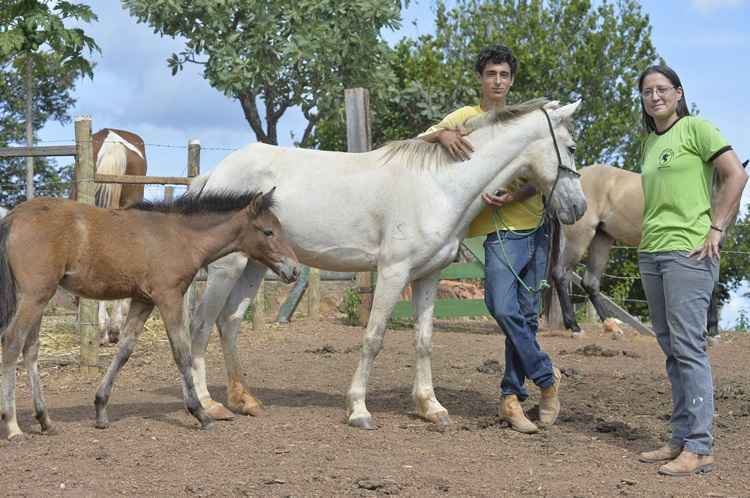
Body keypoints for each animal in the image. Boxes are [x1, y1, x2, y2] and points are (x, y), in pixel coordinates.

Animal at [0, 191, 300, 440]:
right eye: (268, 231)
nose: (295, 270)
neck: (181, 236)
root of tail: (13, 216)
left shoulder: (142, 300)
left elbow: (124, 350)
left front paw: (101, 410)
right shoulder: (168, 297)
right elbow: (181, 353)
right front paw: (200, 413)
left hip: (39, 297)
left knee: (30, 349)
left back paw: (45, 421)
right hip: (34, 295)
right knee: (12, 343)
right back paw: (13, 427)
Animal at [188, 97, 588, 428]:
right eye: (571, 147)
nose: (578, 208)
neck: (440, 185)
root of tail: (215, 173)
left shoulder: (428, 275)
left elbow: (424, 340)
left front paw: (431, 408)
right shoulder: (394, 271)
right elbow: (373, 337)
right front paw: (359, 410)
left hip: (254, 265)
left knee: (229, 322)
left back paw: (244, 400)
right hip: (227, 267)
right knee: (201, 325)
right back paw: (208, 405)